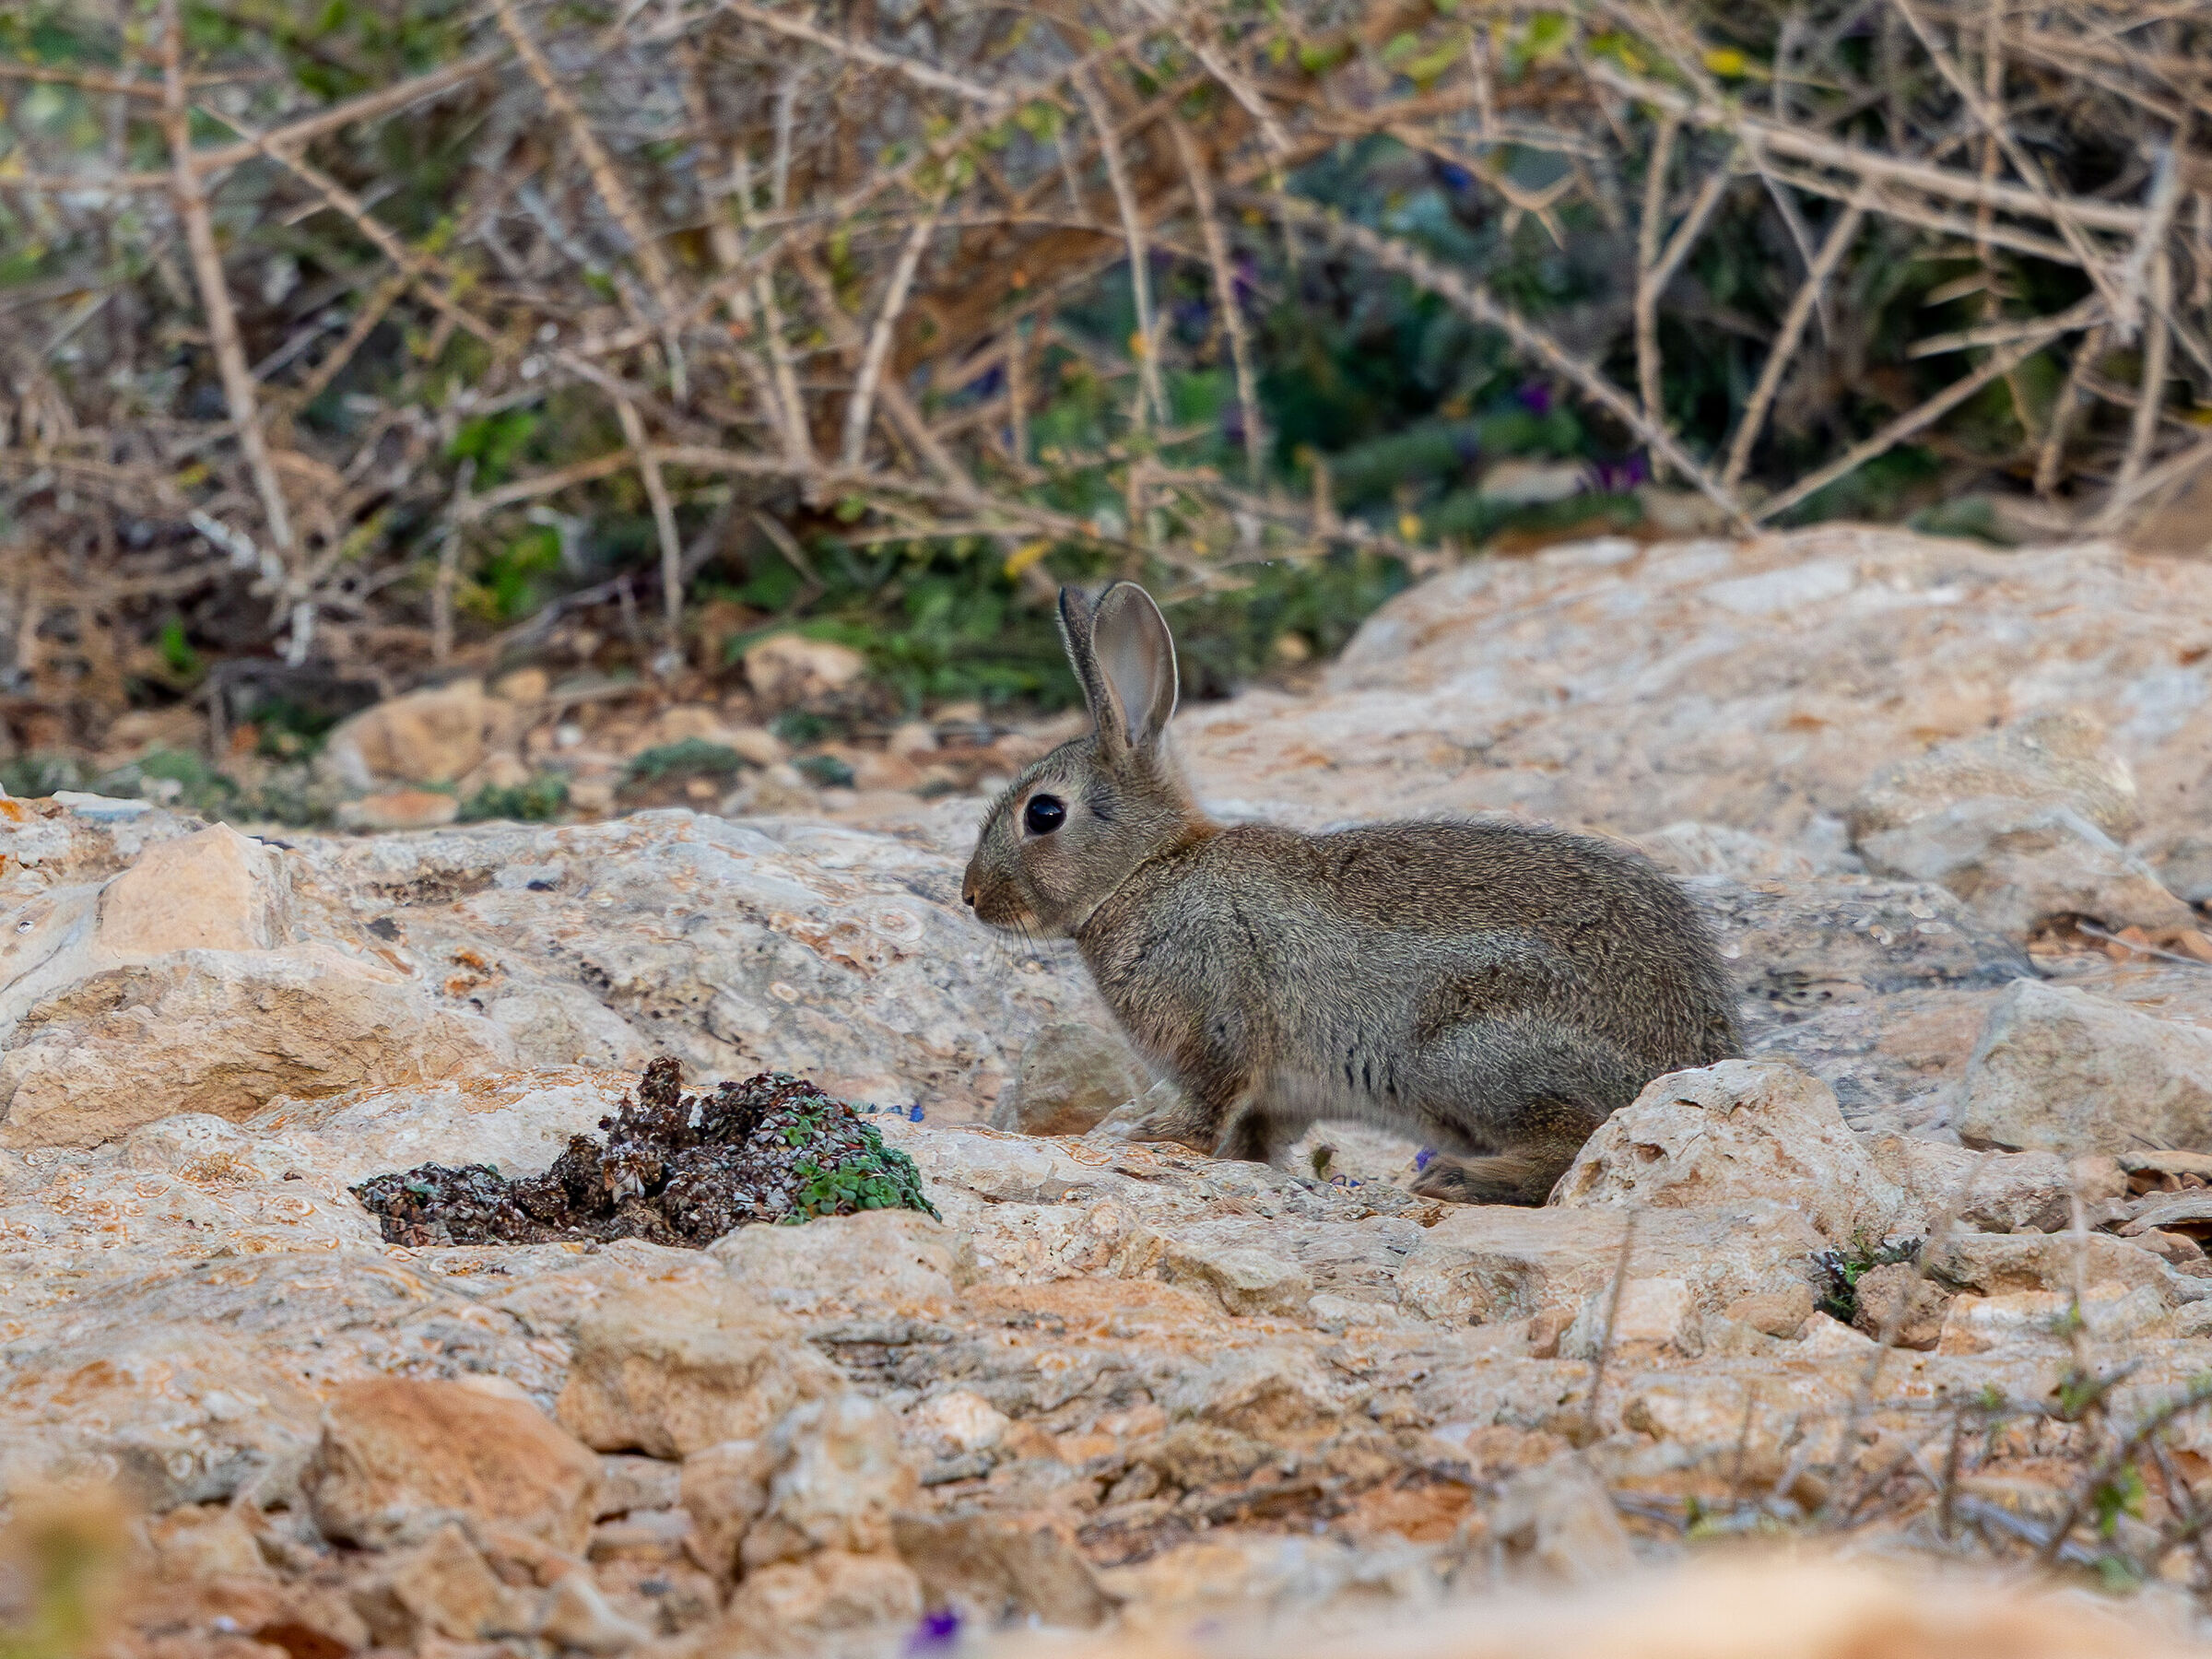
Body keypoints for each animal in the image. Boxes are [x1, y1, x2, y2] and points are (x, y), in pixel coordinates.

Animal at [960, 581, 1741, 1205]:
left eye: (1043, 813)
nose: (970, 896)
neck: (1147, 870)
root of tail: (1697, 1056)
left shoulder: (1218, 1018)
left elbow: (1213, 1103)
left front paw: (1157, 1138)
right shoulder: (1277, 1096)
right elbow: (1257, 1138)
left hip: (1469, 1053)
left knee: (1578, 1143)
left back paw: (1458, 1179)